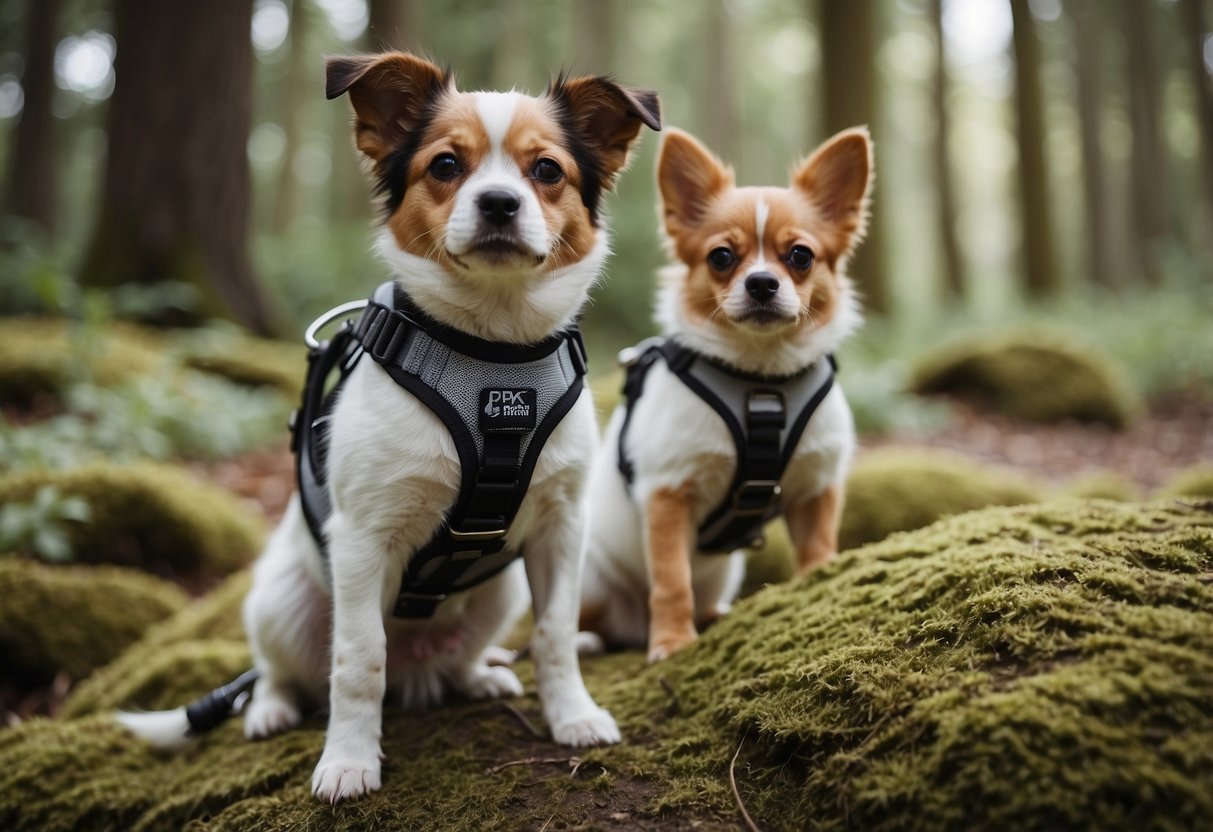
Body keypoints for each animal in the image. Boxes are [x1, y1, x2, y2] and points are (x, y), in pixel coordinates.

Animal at [118, 50, 659, 800]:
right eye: (445, 165)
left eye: (547, 170)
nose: (499, 203)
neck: (491, 356)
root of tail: (419, 667)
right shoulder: (362, 540)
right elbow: (357, 658)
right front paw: (348, 760)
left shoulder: (560, 529)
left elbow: (555, 633)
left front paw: (572, 715)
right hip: (280, 601)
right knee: (289, 672)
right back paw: (270, 709)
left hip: (502, 590)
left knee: (461, 657)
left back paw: (480, 674)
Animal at [579, 127, 873, 659]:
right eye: (721, 257)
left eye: (801, 256)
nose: (761, 283)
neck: (760, 380)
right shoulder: (667, 493)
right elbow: (671, 579)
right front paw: (673, 643)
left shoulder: (817, 488)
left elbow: (818, 549)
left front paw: (821, 584)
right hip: (591, 581)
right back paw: (595, 638)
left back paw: (715, 613)